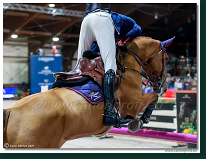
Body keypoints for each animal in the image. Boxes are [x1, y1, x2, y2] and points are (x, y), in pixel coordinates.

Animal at [3, 36, 174, 148]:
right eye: (166, 58)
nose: (164, 87)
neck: (128, 67)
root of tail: (11, 111)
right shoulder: (133, 105)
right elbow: (153, 97)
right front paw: (141, 120)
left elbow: (153, 97)